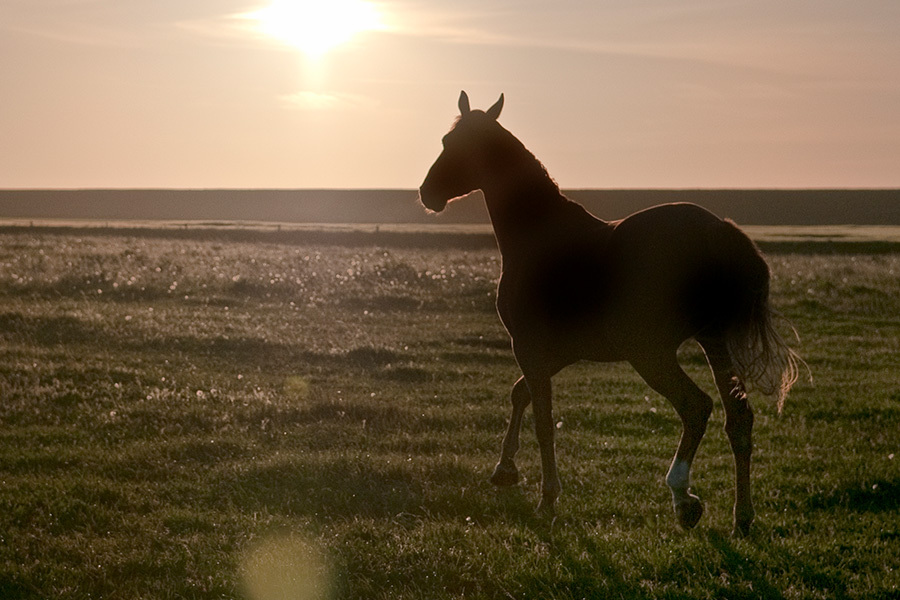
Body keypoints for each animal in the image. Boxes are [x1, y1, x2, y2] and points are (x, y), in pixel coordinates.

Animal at [418, 91, 804, 536]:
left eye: (455, 145)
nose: (427, 193)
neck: (539, 234)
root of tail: (717, 229)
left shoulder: (529, 348)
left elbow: (543, 421)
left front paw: (547, 499)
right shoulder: (559, 352)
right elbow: (520, 395)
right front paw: (505, 469)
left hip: (651, 353)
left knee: (696, 407)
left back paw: (682, 497)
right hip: (712, 341)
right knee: (738, 417)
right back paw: (742, 516)